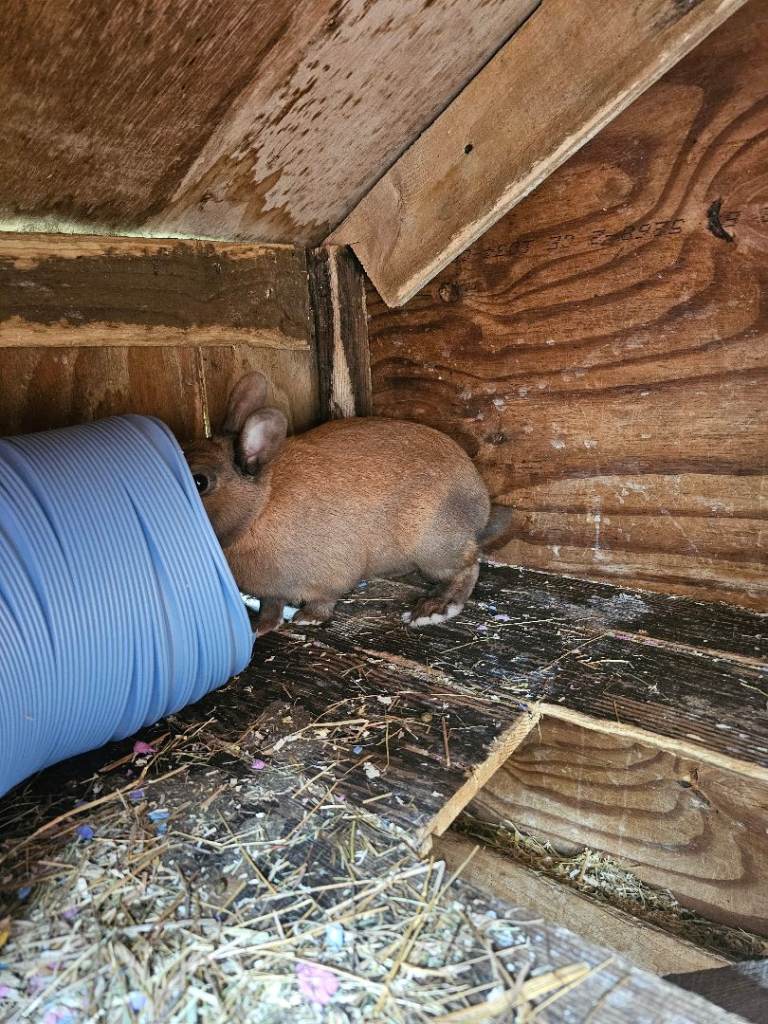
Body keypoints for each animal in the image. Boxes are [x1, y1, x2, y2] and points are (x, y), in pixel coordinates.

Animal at [182, 372, 511, 636]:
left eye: (199, 482)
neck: (258, 510)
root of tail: (480, 504)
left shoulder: (329, 574)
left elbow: (324, 598)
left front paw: (308, 619)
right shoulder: (271, 592)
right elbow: (270, 607)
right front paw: (260, 628)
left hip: (434, 546)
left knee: (469, 565)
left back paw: (435, 608)